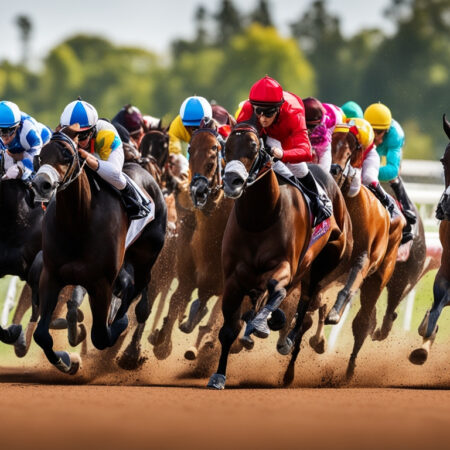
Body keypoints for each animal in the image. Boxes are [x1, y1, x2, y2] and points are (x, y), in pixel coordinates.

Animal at [31, 128, 167, 374]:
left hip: (147, 256)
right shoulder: (51, 275)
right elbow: (42, 335)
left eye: (66, 156)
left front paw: (119, 324)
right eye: (41, 156)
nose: (41, 184)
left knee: (139, 289)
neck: (77, 220)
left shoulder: (100, 283)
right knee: (128, 284)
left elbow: (101, 336)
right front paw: (66, 361)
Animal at [207, 124, 352, 390]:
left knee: (304, 306)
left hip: (324, 262)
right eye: (226, 147)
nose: (232, 182)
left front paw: (262, 324)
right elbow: (228, 330)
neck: (259, 219)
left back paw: (287, 349)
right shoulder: (233, 279)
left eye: (254, 147)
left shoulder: (284, 266)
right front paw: (219, 375)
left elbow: (276, 288)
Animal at [326, 128, 404, 378]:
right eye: (330, 142)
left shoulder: (363, 259)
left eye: (352, 149)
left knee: (361, 323)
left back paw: (350, 370)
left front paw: (334, 313)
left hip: (378, 278)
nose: (334, 169)